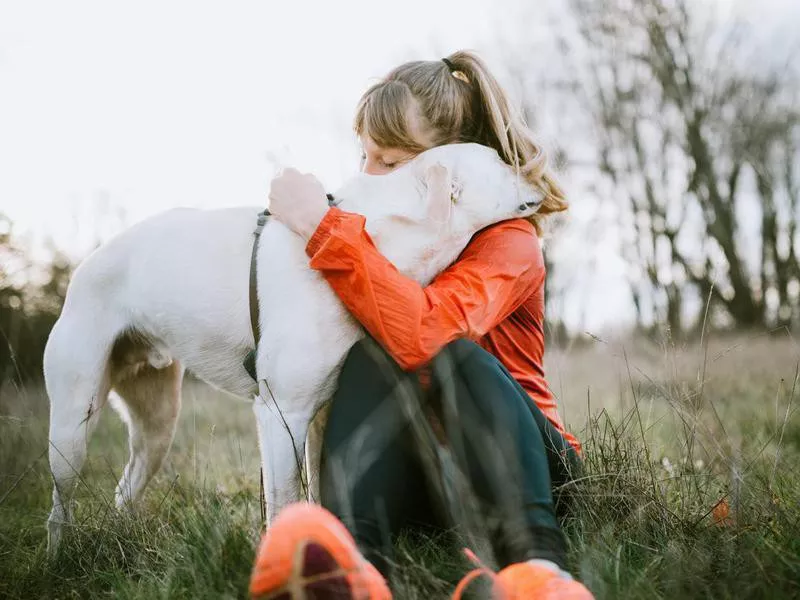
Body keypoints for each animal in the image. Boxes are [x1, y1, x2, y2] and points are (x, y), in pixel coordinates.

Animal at [43, 142, 544, 552]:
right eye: (499, 161)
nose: (540, 170)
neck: (378, 239)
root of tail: (85, 264)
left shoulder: (322, 414)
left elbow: (318, 495)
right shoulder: (282, 414)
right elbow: (284, 504)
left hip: (157, 424)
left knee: (125, 490)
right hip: (73, 425)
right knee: (59, 507)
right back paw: (57, 562)